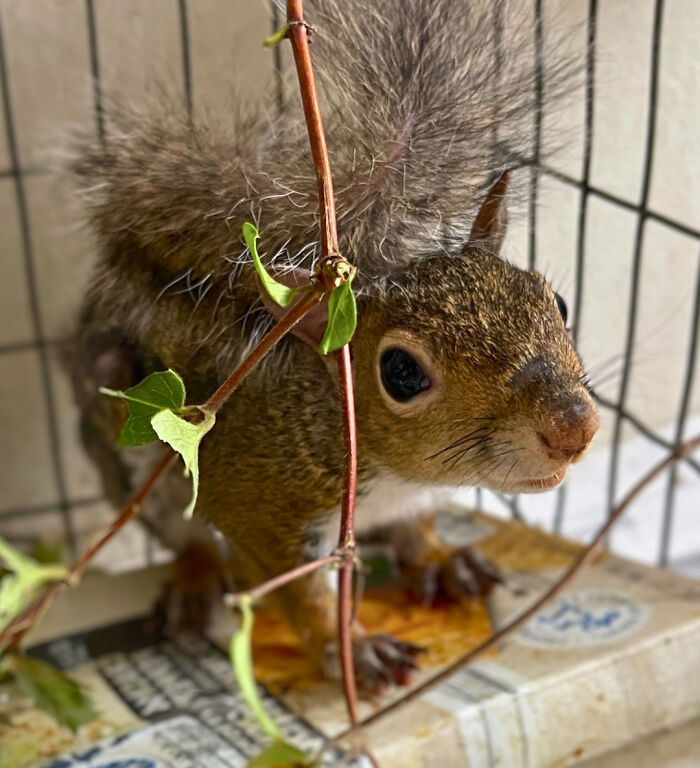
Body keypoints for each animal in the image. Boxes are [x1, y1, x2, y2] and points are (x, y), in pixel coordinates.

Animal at [69, 0, 598, 690]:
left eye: (556, 302)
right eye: (401, 373)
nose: (575, 427)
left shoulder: (411, 501)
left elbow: (417, 528)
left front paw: (440, 558)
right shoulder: (258, 507)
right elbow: (304, 594)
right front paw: (352, 646)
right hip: (128, 447)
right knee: (183, 536)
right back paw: (194, 582)